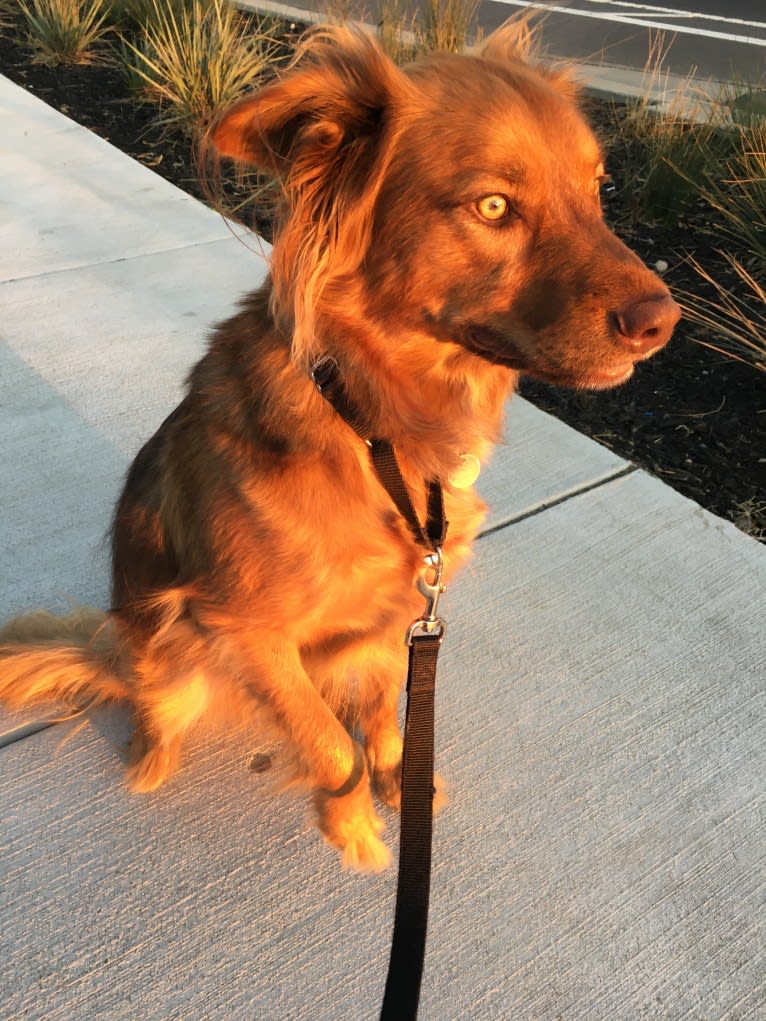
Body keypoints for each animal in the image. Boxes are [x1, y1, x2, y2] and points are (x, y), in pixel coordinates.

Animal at [0, 23, 682, 869]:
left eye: (598, 191)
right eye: (493, 206)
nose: (664, 322)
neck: (374, 423)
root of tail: (114, 653)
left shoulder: (403, 611)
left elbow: (387, 712)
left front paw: (401, 782)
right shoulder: (245, 631)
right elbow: (328, 741)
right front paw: (354, 820)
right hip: (170, 650)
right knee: (157, 710)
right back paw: (152, 759)